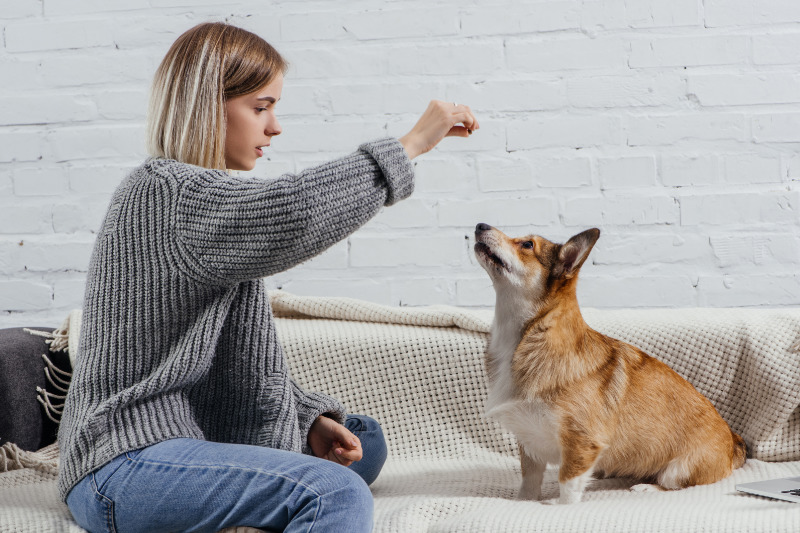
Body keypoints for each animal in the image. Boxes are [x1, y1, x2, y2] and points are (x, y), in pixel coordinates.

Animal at [472, 223, 748, 502]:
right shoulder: (529, 442)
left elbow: (567, 483)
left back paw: (646, 487)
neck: (525, 336)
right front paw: (524, 501)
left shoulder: (581, 442)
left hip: (678, 470)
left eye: (527, 244)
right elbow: (529, 481)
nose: (480, 225)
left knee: (672, 483)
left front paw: (560, 506)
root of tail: (733, 442)